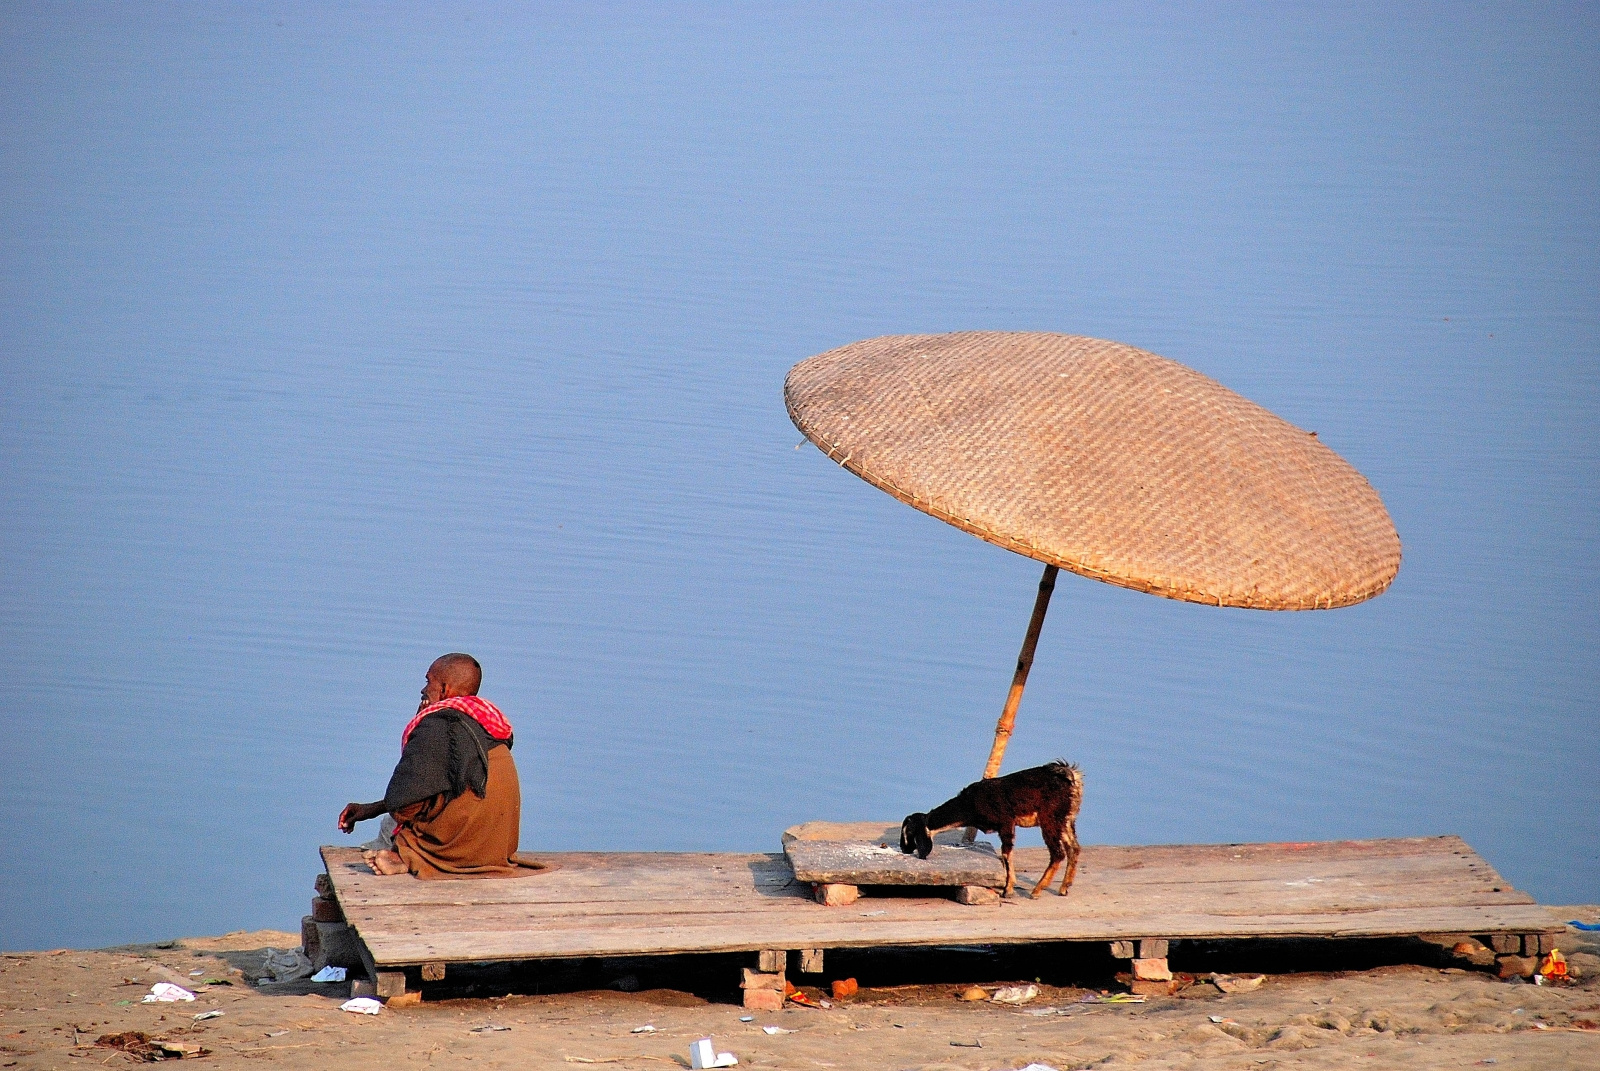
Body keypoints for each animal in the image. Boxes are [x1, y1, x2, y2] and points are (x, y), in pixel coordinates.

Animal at [902, 755, 1088, 896]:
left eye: (909, 832)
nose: (905, 849)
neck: (969, 804)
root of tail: (1071, 775)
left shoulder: (1006, 822)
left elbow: (1006, 853)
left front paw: (1008, 890)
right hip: (1066, 819)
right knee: (1074, 848)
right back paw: (1063, 888)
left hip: (1050, 819)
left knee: (1058, 853)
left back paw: (1036, 891)